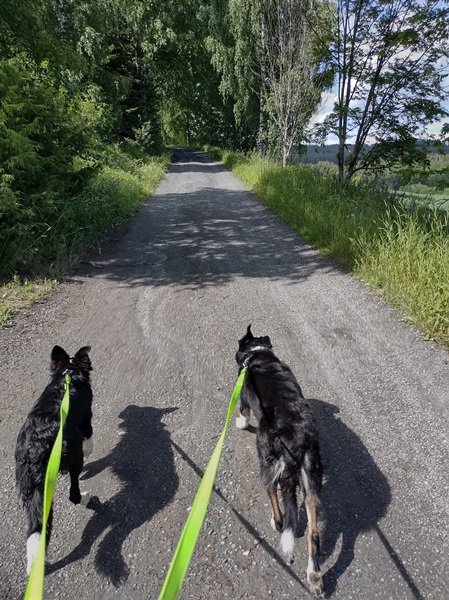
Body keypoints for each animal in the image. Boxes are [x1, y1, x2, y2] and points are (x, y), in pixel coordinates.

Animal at [15, 350, 93, 576]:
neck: (69, 374)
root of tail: (34, 450)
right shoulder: (87, 418)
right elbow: (90, 440)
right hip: (72, 454)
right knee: (73, 494)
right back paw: (86, 498)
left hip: (29, 485)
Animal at [234, 328, 322, 596]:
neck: (257, 354)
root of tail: (297, 439)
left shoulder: (243, 395)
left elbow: (243, 411)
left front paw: (240, 424)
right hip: (311, 476)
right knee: (314, 532)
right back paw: (314, 577)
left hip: (267, 457)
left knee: (273, 493)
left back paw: (277, 521)